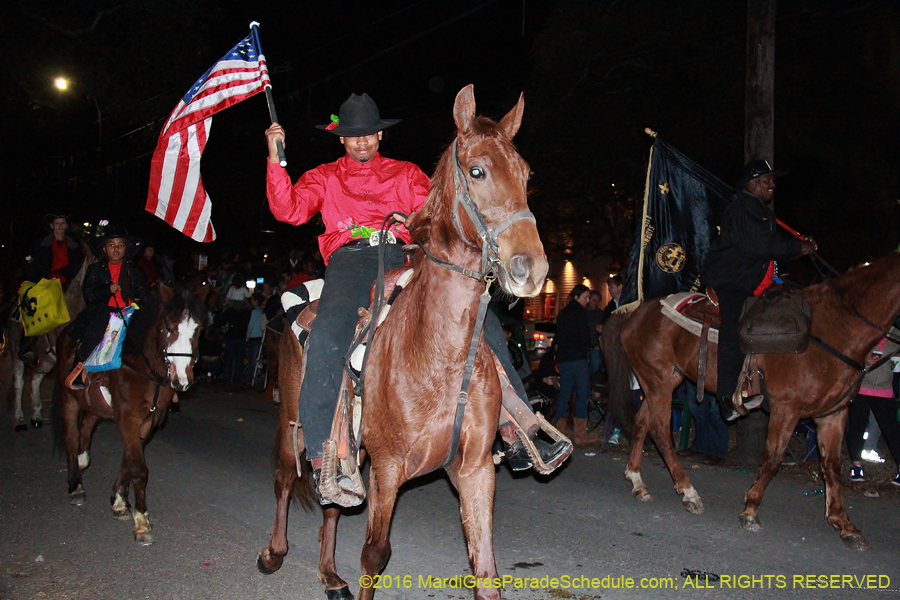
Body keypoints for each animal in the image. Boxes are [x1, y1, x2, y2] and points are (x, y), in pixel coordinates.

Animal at [54, 284, 207, 548]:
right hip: (68, 399)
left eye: (197, 330)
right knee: (71, 438)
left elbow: (129, 458)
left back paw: (83, 462)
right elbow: (138, 467)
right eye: (168, 327)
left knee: (87, 427)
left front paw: (119, 500)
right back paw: (75, 486)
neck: (144, 366)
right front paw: (142, 522)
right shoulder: (127, 415)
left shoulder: (148, 419)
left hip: (95, 406)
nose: (182, 380)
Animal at [256, 85, 544, 600]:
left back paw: (329, 574)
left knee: (333, 500)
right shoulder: (389, 468)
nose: (531, 268)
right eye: (477, 171)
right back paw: (274, 552)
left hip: (350, 448)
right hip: (295, 421)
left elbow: (485, 569)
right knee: (286, 477)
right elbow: (375, 554)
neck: (437, 356)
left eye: (526, 174)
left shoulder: (475, 470)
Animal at [600, 252, 900, 548]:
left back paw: (638, 482)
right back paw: (688, 492)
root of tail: (634, 313)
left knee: (642, 424)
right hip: (659, 382)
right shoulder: (786, 408)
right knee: (661, 431)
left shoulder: (833, 414)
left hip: (660, 383)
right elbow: (773, 458)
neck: (832, 329)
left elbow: (832, 465)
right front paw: (751, 510)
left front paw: (844, 523)